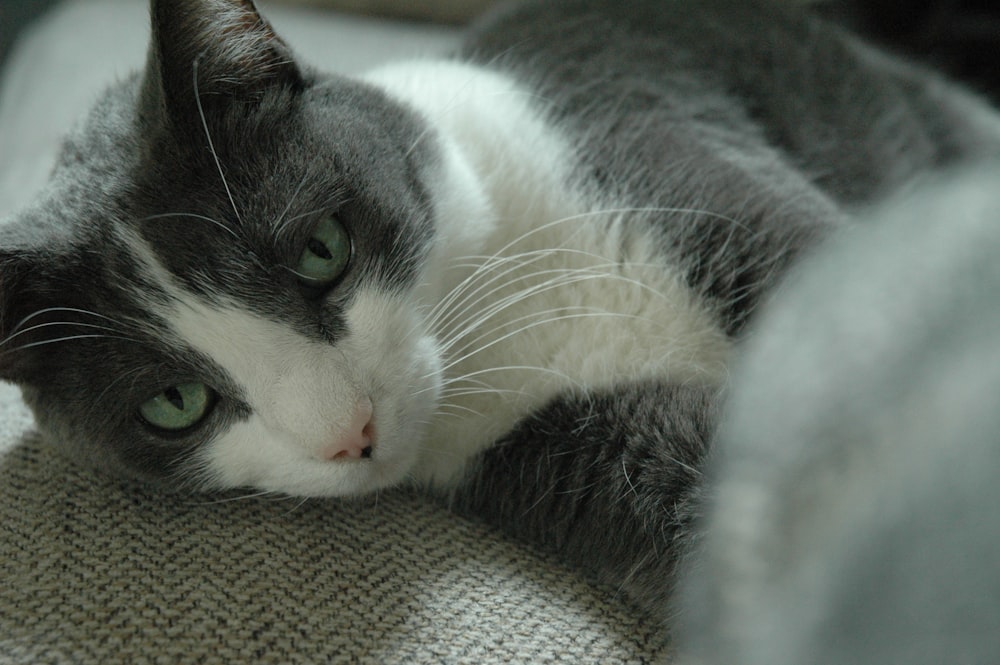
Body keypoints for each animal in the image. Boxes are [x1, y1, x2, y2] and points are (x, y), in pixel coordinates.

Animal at [1, 0, 1000, 632]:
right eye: (174, 404)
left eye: (322, 247)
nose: (352, 432)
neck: (493, 302)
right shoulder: (561, 445)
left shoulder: (669, 166)